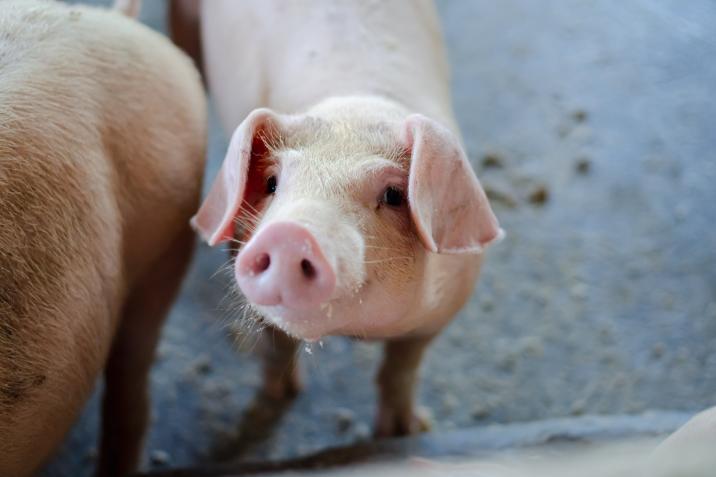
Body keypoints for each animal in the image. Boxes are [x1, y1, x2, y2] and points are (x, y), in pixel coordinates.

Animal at [171, 0, 501, 437]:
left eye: (394, 194)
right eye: (272, 182)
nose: (290, 233)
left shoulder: (442, 313)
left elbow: (402, 368)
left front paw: (407, 430)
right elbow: (276, 347)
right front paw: (281, 395)